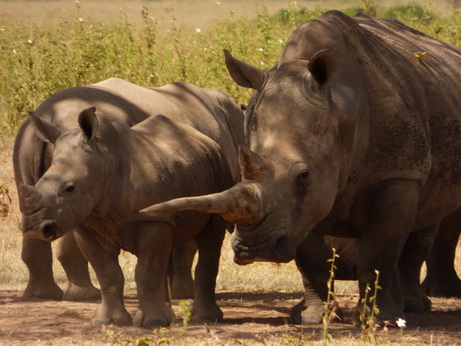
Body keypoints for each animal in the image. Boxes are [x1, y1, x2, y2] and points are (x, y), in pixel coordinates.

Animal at [141, 10, 461, 324]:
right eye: (241, 172)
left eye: (303, 175)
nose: (255, 248)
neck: (343, 108)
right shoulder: (305, 203)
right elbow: (312, 258)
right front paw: (314, 317)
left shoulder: (397, 174)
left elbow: (380, 251)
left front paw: (378, 320)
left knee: (421, 224)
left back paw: (411, 309)